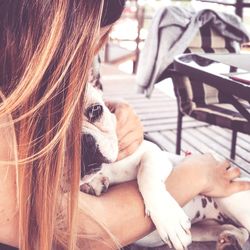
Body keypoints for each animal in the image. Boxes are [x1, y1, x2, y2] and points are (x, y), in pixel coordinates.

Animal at [80, 84, 250, 250]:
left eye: (95, 109)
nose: (83, 141)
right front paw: (92, 184)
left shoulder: (154, 153)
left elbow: (146, 174)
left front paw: (169, 220)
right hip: (202, 230)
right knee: (237, 230)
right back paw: (229, 241)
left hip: (232, 201)